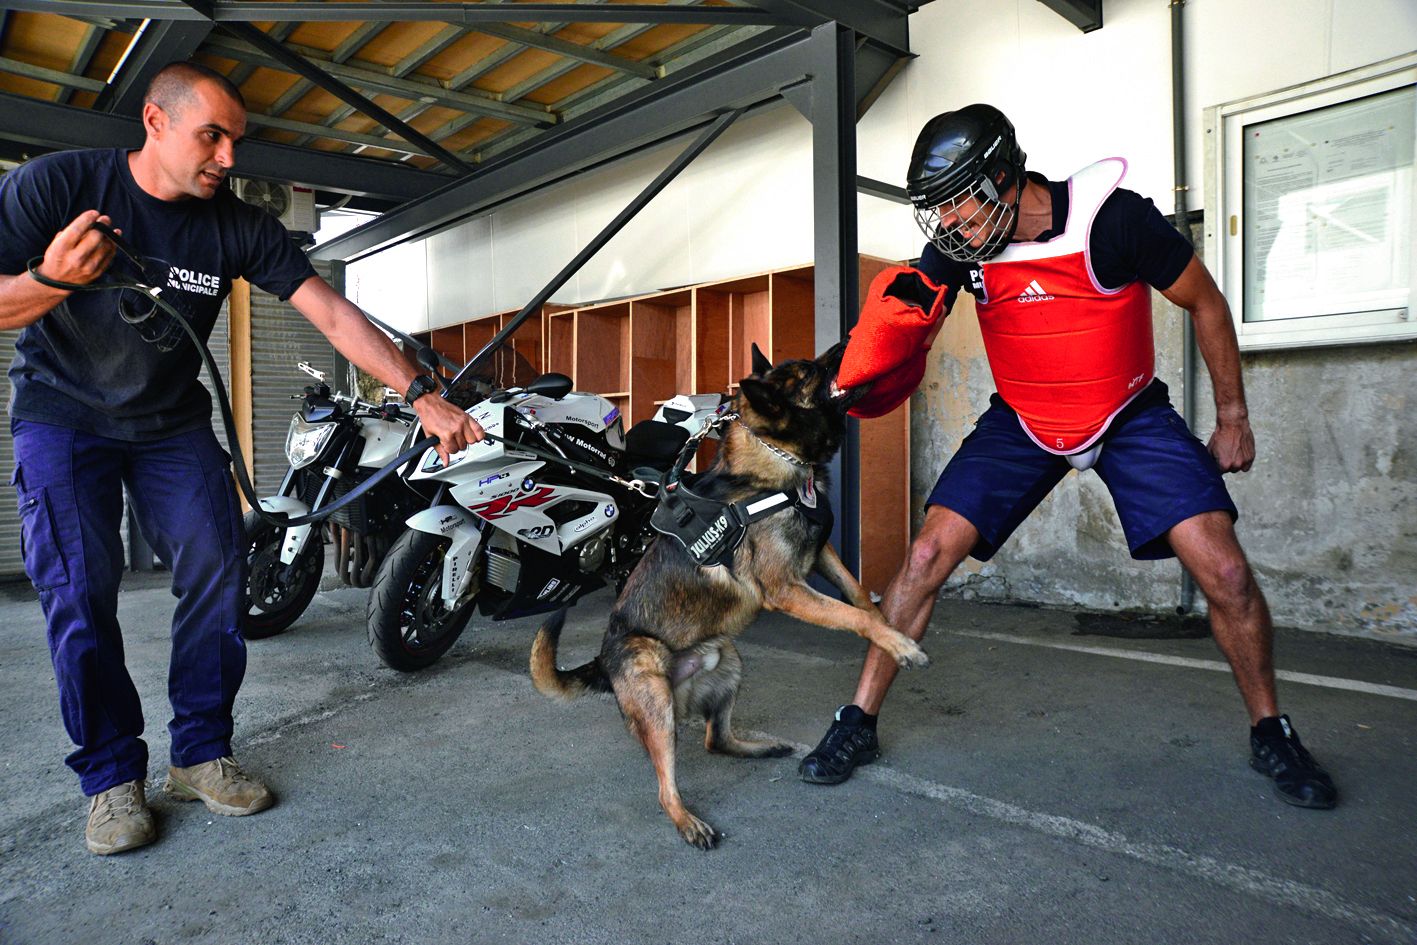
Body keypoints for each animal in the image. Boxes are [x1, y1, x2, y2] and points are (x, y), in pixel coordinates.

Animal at [532, 340, 929, 850]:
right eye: (811, 372)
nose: (847, 343)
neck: (777, 465)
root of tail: (603, 665)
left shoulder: (821, 554)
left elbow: (858, 596)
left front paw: (890, 631)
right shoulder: (788, 589)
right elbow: (852, 616)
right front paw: (901, 646)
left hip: (729, 661)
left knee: (714, 740)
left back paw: (761, 747)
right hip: (653, 688)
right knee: (666, 785)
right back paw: (687, 821)